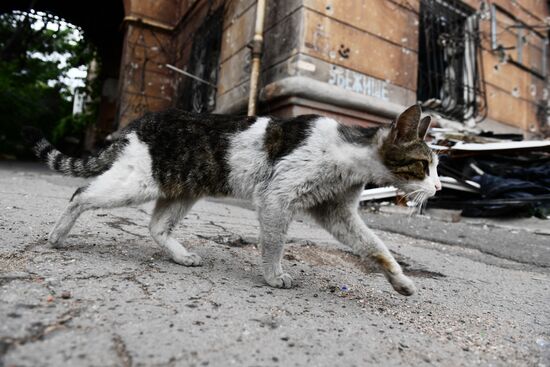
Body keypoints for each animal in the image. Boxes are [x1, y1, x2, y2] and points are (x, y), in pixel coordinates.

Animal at [22, 105, 444, 298]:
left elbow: (377, 247)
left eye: (438, 167)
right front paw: (273, 276)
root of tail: (139, 122)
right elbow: (273, 244)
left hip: (182, 189)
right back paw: (57, 236)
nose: (439, 188)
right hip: (138, 182)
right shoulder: (276, 198)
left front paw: (401, 282)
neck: (348, 158)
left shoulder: (337, 212)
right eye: (423, 166)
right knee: (80, 194)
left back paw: (181, 256)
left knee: (156, 226)